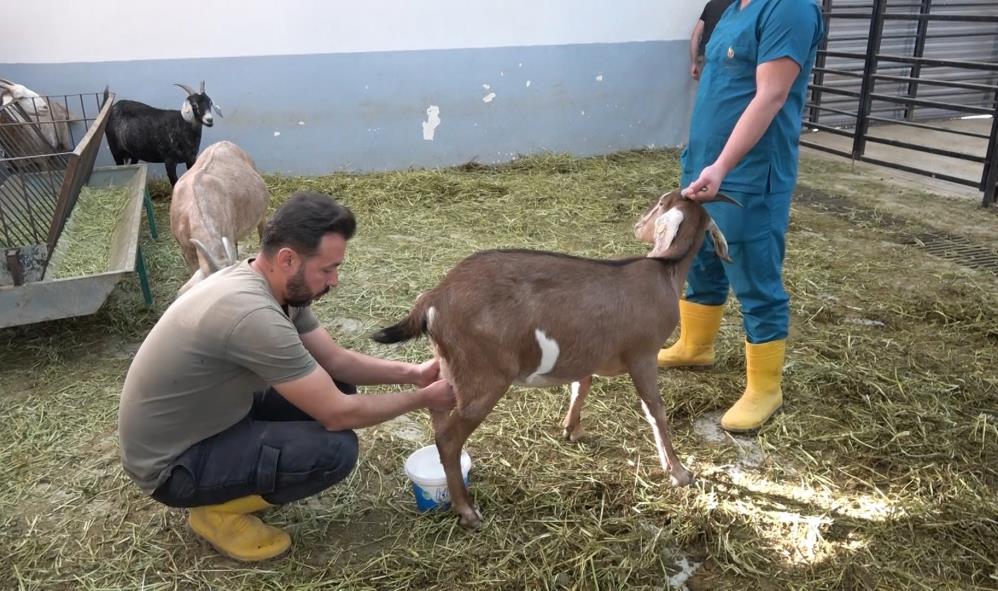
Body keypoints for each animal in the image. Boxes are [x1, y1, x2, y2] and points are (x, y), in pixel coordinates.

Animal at [376, 188, 744, 528]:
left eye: (660, 204)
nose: (639, 225)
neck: (663, 271)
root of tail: (435, 297)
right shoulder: (643, 355)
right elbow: (655, 410)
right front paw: (680, 473)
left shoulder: (587, 355)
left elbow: (581, 386)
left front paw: (571, 430)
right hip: (484, 376)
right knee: (449, 438)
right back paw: (467, 511)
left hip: (451, 365)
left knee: (435, 404)